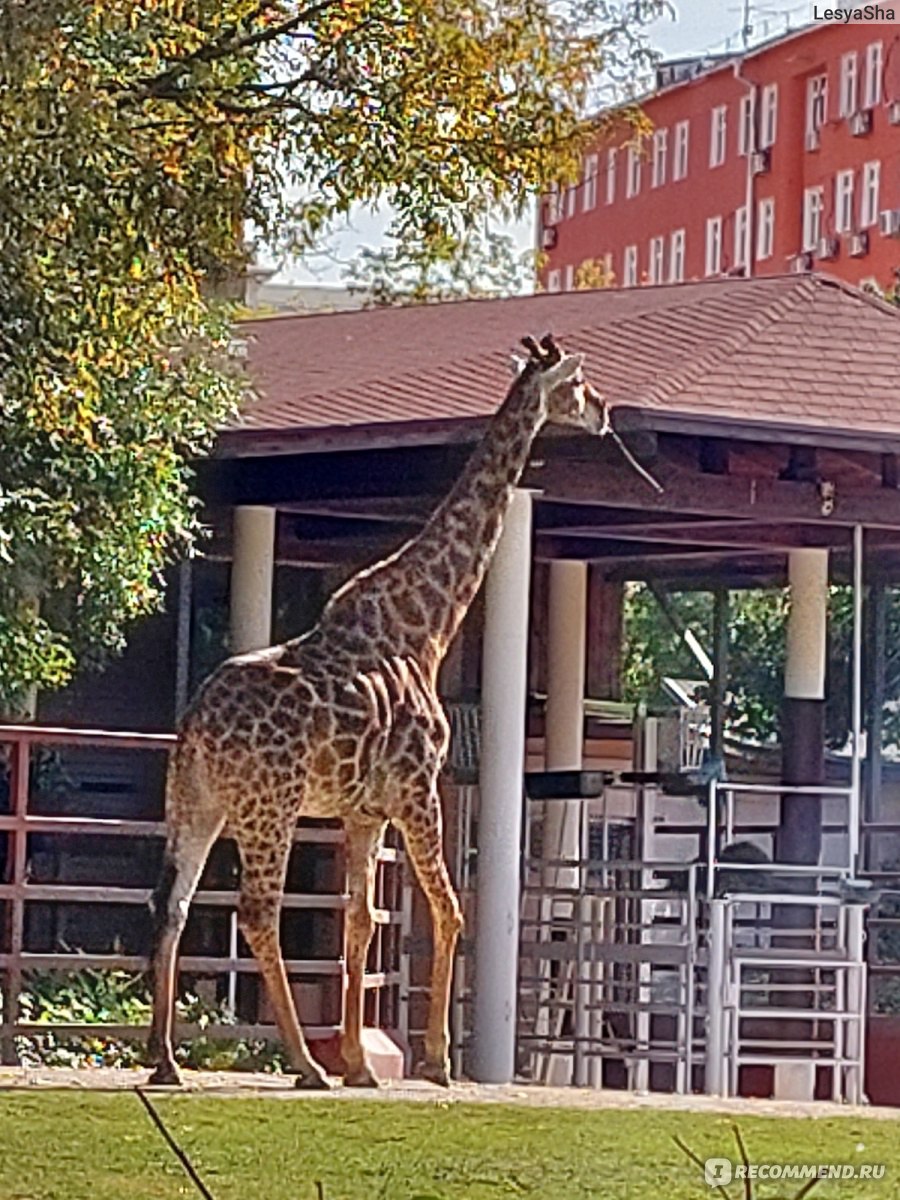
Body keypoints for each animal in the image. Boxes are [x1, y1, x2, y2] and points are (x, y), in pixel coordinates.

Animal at [148, 333, 609, 1094]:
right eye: (578, 381)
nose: (605, 412)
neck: (428, 625)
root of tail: (194, 730)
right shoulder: (419, 791)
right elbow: (450, 910)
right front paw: (436, 1061)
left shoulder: (363, 811)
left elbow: (360, 921)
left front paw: (363, 1063)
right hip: (270, 807)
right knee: (257, 912)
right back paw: (305, 1066)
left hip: (198, 804)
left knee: (173, 907)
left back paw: (165, 1061)